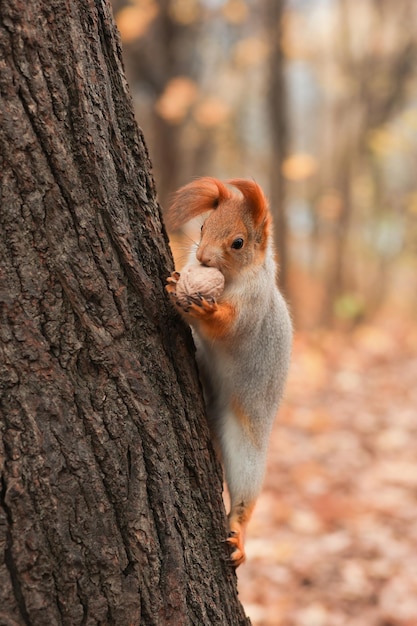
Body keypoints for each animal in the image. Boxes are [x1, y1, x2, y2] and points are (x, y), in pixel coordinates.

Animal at [164, 177, 290, 564]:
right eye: (203, 227)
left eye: (238, 243)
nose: (203, 257)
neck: (230, 280)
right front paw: (174, 281)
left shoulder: (250, 311)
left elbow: (223, 326)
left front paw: (203, 310)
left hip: (247, 449)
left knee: (246, 497)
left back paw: (238, 535)